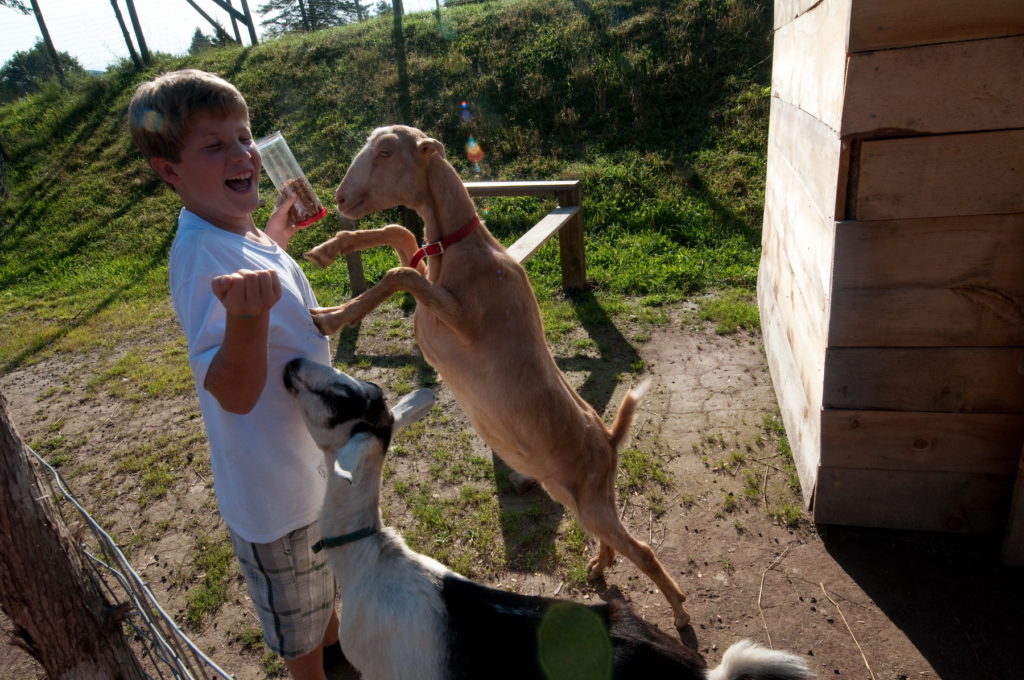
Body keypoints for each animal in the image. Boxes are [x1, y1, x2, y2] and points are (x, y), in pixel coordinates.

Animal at [303, 125, 688, 626]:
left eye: (386, 152)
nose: (341, 197)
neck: (464, 250)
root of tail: (607, 437)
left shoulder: (465, 321)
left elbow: (400, 272)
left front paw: (329, 317)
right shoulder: (433, 295)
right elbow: (401, 237)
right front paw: (327, 250)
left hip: (591, 500)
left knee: (642, 550)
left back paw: (679, 613)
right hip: (581, 497)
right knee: (612, 540)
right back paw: (599, 567)